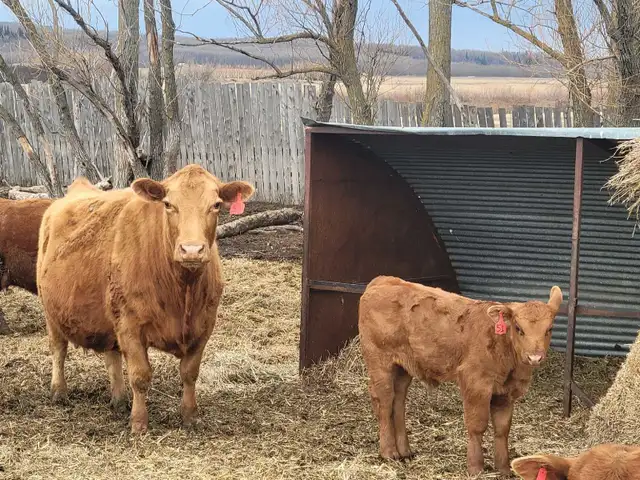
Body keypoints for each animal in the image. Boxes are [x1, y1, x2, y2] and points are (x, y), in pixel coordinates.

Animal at [36, 164, 254, 434]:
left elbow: (190, 373)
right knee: (58, 349)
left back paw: (119, 400)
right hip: (51, 312)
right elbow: (140, 376)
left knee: (111, 357)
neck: (182, 291)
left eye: (215, 205)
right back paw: (59, 392)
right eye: (168, 204)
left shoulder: (204, 325)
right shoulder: (130, 326)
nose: (192, 250)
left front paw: (190, 416)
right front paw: (139, 423)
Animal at [358, 276, 563, 476]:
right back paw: (389, 452)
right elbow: (477, 425)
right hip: (379, 361)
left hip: (403, 367)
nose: (535, 357)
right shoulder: (475, 383)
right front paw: (475, 468)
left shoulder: (506, 392)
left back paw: (404, 451)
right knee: (384, 402)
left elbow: (502, 429)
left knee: (398, 401)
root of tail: (382, 281)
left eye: (550, 329)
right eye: (519, 328)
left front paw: (504, 469)